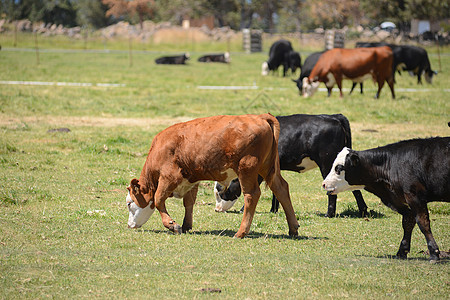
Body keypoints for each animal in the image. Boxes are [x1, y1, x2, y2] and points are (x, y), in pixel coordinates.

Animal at [125, 113, 298, 238]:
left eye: (129, 203)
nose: (129, 225)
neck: (161, 148)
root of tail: (260, 116)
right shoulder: (191, 179)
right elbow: (189, 202)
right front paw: (186, 225)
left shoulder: (169, 177)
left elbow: (158, 199)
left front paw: (172, 225)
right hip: (268, 168)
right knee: (281, 188)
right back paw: (293, 229)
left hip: (247, 168)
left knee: (252, 195)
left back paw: (241, 232)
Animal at [213, 113, 368, 218]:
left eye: (221, 192)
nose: (217, 209)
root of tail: (335, 117)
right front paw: (273, 210)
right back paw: (364, 211)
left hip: (328, 163)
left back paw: (329, 213)